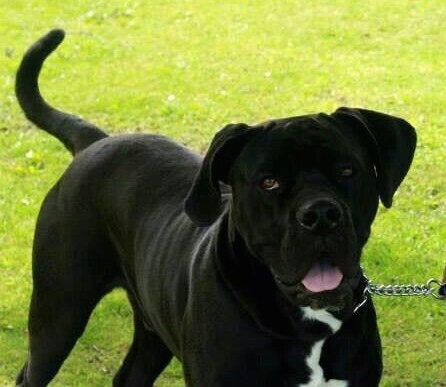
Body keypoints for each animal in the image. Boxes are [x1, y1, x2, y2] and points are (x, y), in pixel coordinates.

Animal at [15, 30, 416, 387]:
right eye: (268, 181)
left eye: (347, 171)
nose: (320, 216)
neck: (307, 326)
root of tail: (95, 142)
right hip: (59, 311)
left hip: (150, 326)